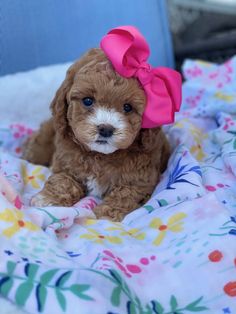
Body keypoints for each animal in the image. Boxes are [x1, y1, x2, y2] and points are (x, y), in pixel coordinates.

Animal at [23, 49, 171, 221]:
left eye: (127, 107)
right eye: (88, 101)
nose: (106, 129)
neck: (100, 156)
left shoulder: (140, 180)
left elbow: (125, 195)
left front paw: (105, 216)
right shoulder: (65, 163)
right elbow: (63, 180)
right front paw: (47, 199)